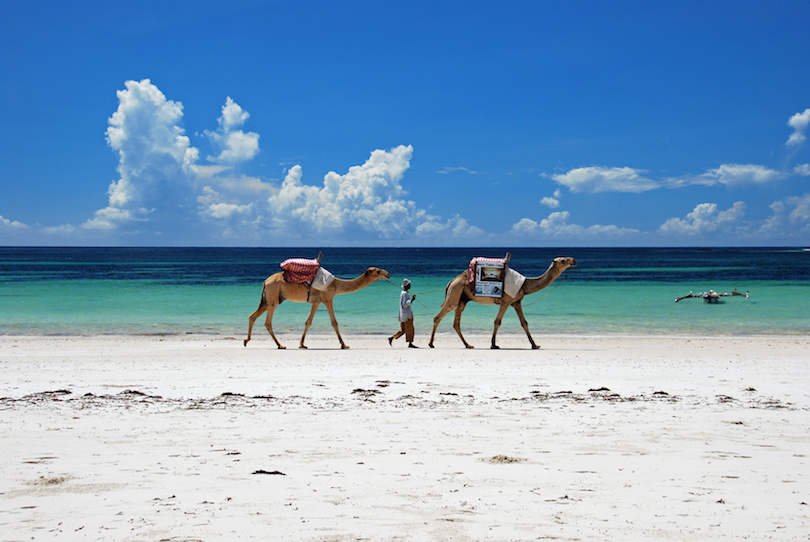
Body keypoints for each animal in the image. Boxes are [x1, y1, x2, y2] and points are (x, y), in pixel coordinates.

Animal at [243, 266, 388, 350]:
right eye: (378, 271)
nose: (387, 273)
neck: (336, 284)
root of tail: (265, 281)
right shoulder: (328, 298)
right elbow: (334, 322)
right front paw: (344, 344)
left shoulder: (317, 302)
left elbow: (308, 322)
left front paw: (302, 344)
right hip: (273, 298)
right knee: (268, 322)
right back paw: (280, 345)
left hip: (268, 300)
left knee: (252, 316)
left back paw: (246, 340)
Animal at [430, 260, 576, 352]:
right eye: (563, 260)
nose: (573, 260)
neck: (524, 285)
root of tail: (451, 281)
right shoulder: (506, 301)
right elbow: (497, 321)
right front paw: (494, 345)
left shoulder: (516, 302)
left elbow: (524, 323)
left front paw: (535, 345)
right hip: (455, 293)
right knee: (439, 316)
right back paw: (431, 343)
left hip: (462, 299)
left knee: (456, 323)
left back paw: (468, 345)